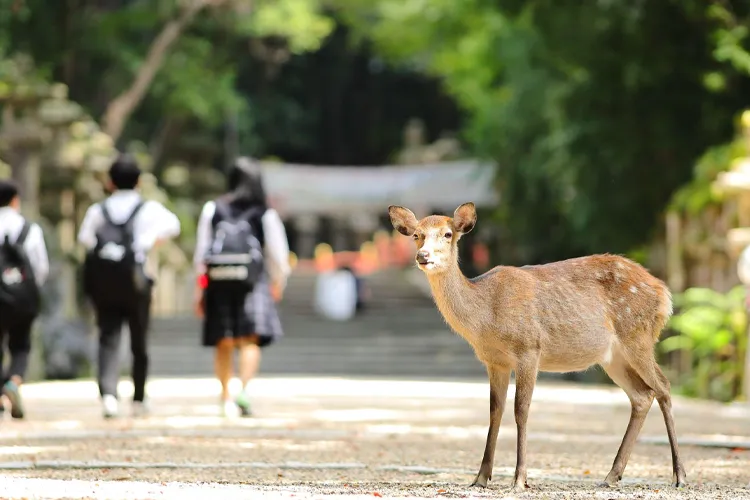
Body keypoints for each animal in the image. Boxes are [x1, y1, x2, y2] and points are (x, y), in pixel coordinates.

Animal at [390, 203, 692, 492]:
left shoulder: (528, 349)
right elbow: (495, 410)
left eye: (447, 234)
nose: (423, 256)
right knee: (642, 395)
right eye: (417, 235)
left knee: (663, 387)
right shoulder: (494, 361)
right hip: (613, 357)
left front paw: (519, 479)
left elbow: (521, 410)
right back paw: (611, 476)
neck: (486, 316)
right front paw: (481, 477)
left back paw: (679, 476)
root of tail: (664, 293)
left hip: (638, 336)